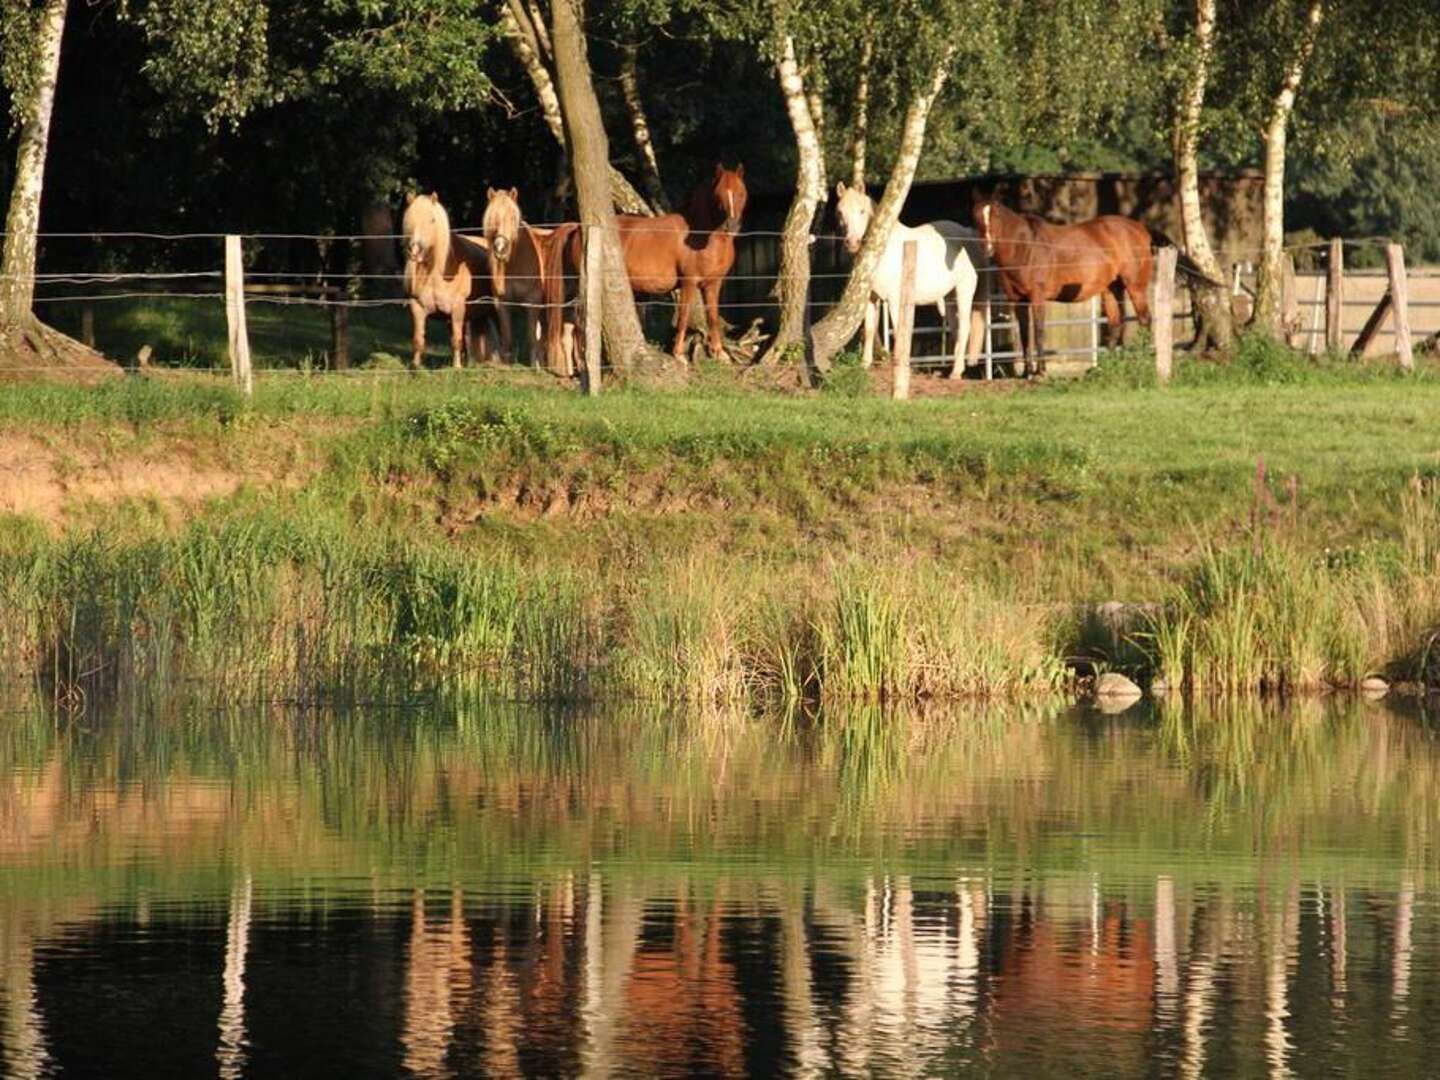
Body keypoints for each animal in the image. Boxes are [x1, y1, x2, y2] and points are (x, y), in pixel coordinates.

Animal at [403, 195, 498, 377]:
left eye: (432, 220)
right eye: (409, 220)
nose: (415, 250)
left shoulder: (457, 308)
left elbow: (456, 340)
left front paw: (456, 368)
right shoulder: (417, 307)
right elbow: (418, 340)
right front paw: (415, 368)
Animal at [835, 180, 990, 377]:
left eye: (862, 211)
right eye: (840, 212)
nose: (852, 242)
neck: (882, 252)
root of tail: (967, 234)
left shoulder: (895, 299)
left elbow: (900, 329)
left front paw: (901, 364)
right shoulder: (871, 298)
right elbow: (869, 330)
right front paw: (864, 365)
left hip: (964, 290)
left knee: (964, 327)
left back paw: (956, 372)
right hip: (949, 297)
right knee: (955, 329)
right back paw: (954, 368)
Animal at [973, 194, 1175, 377]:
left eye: (996, 217)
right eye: (977, 218)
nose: (987, 248)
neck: (1025, 247)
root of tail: (1141, 228)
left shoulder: (1037, 297)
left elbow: (1038, 330)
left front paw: (1040, 371)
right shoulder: (1018, 300)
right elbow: (1024, 333)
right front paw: (1027, 372)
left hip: (1135, 287)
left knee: (1144, 319)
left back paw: (1144, 361)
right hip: (1111, 289)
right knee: (1115, 324)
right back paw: (1103, 368)